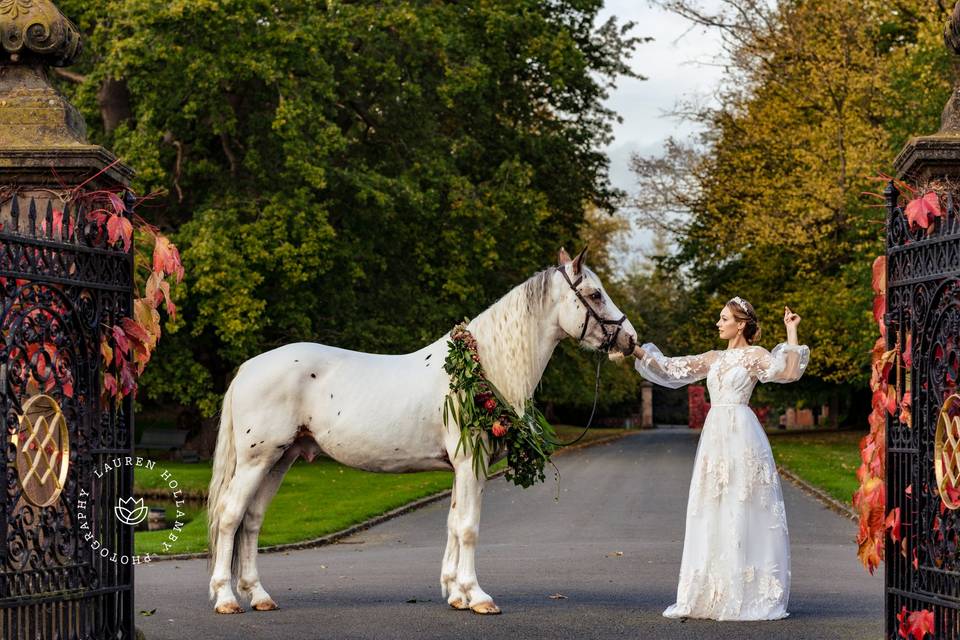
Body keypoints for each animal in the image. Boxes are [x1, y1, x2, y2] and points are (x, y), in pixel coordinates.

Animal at [206, 246, 636, 616]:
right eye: (595, 294)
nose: (630, 340)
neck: (480, 368)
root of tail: (248, 368)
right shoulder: (470, 463)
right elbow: (468, 528)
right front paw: (478, 596)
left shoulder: (465, 468)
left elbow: (453, 523)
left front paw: (457, 594)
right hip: (257, 460)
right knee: (230, 517)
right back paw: (226, 598)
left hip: (281, 459)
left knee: (252, 520)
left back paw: (259, 595)